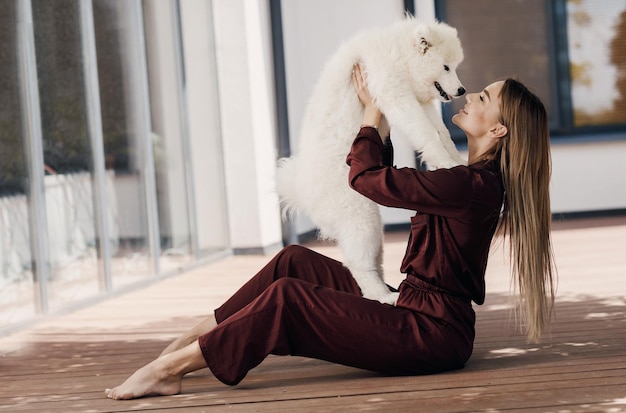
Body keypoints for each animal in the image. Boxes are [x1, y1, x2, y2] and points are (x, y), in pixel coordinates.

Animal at [276, 17, 466, 304]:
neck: (400, 55)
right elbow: (423, 130)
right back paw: (383, 296)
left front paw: (456, 158)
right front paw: (449, 164)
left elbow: (439, 131)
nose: (461, 90)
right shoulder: (392, 89)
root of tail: (302, 192)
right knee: (358, 261)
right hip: (357, 211)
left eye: (454, 66)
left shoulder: (417, 99)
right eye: (445, 66)